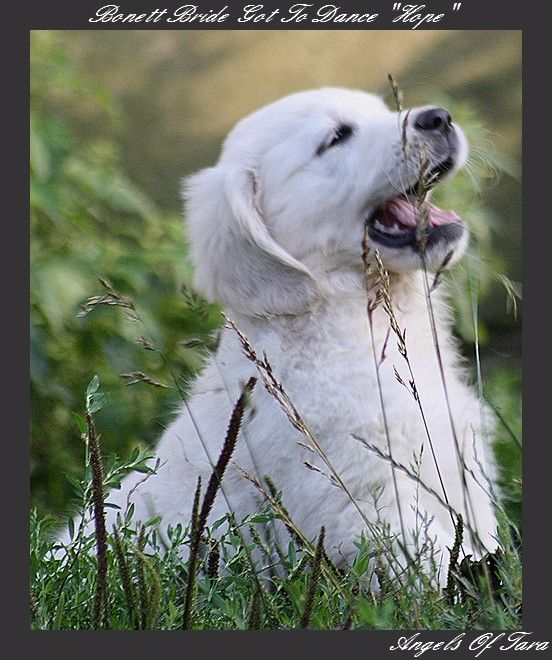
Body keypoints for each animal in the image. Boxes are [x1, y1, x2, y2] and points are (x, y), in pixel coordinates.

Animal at [69, 88, 499, 585]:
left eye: (382, 110)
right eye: (337, 136)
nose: (439, 118)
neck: (343, 321)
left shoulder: (461, 465)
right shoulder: (369, 500)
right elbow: (432, 572)